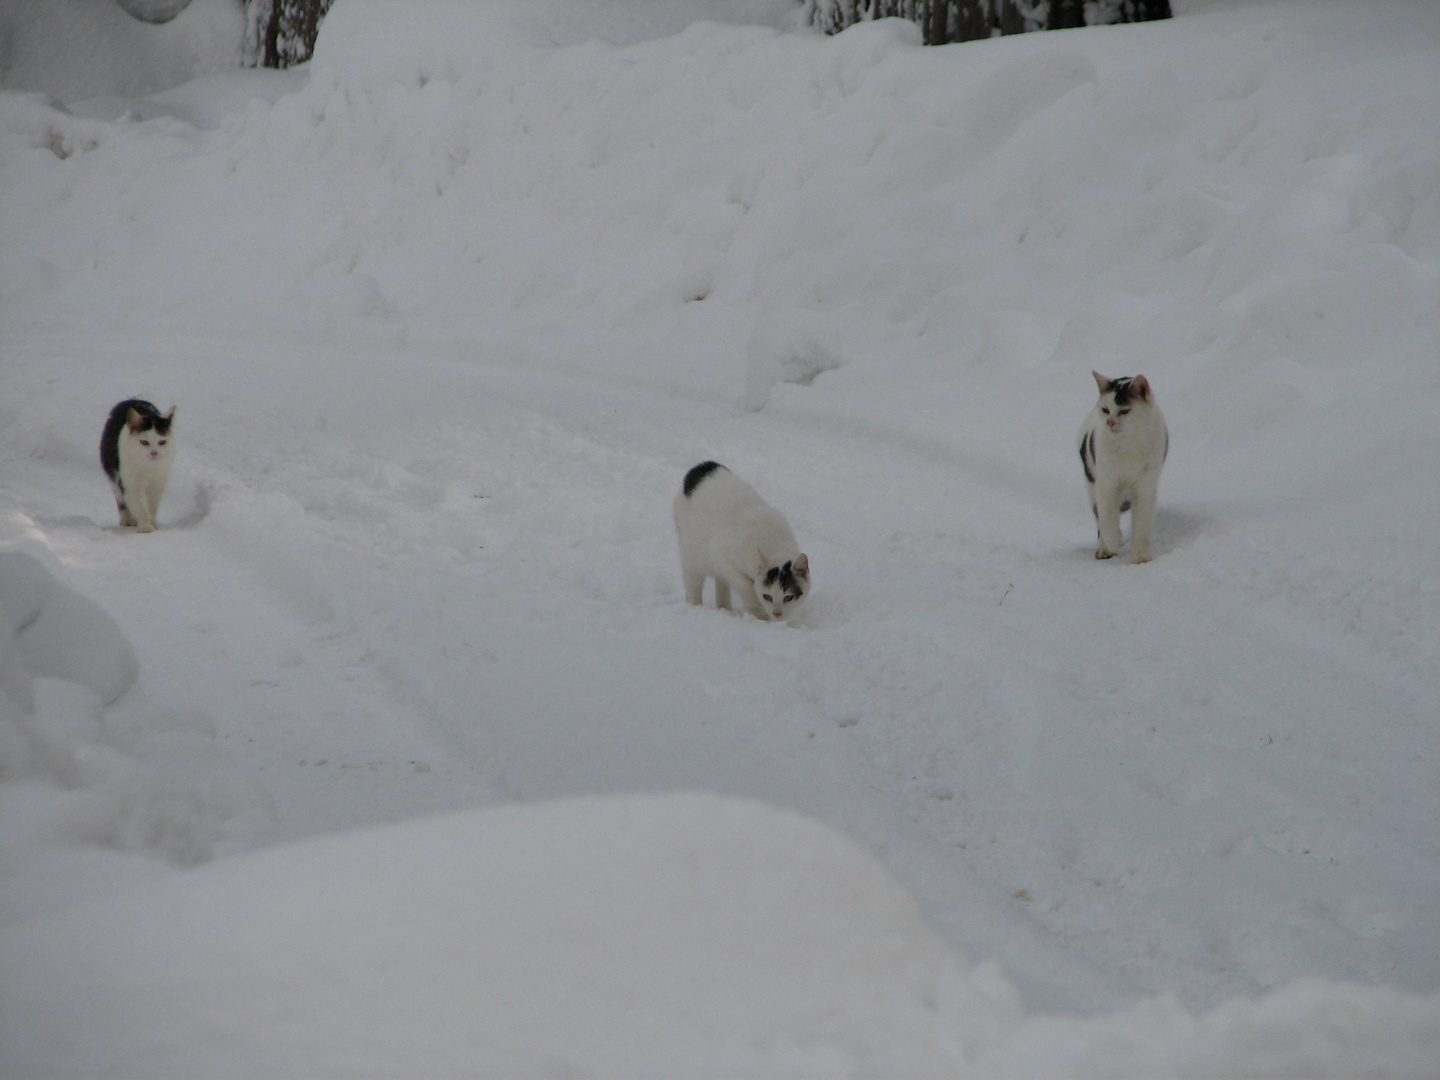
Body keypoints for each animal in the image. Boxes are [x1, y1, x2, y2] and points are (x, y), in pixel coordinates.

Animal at [99, 400, 174, 535]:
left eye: (162, 442)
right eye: (144, 442)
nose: (154, 453)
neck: (148, 468)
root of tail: (132, 400)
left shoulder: (157, 484)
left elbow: (151, 505)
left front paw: (152, 523)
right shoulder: (131, 484)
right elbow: (139, 506)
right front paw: (145, 526)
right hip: (113, 475)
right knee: (121, 500)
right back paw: (127, 520)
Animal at [673, 460, 812, 622]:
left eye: (788, 598)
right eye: (767, 596)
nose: (777, 613)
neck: (773, 545)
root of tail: (703, 465)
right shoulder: (724, 558)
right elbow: (747, 588)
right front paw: (759, 617)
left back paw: (725, 609)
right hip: (692, 557)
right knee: (693, 584)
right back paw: (696, 607)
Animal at [1082, 374, 1169, 567]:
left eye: (1124, 411)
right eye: (1106, 410)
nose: (1110, 422)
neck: (1129, 445)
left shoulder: (1145, 487)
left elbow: (1142, 522)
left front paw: (1140, 556)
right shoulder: (1106, 483)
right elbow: (1107, 517)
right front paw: (1113, 542)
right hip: (1092, 482)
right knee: (1101, 517)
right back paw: (1104, 548)